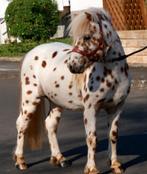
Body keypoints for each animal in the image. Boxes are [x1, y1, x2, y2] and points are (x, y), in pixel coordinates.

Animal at [13, 7, 131, 174]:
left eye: (87, 37)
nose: (73, 66)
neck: (113, 75)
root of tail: (31, 53)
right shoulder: (90, 109)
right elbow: (91, 138)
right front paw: (91, 168)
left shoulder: (116, 108)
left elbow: (113, 136)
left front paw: (115, 165)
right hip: (31, 99)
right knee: (22, 125)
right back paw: (20, 161)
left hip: (56, 102)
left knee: (50, 125)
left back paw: (60, 159)